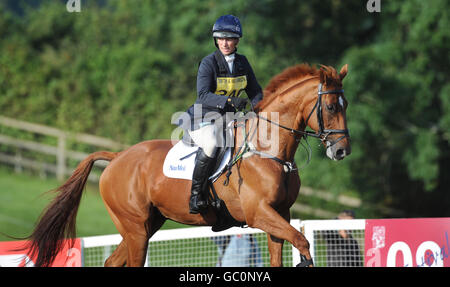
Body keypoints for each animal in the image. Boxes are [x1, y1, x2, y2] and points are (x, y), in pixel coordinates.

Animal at [26, 63, 352, 268]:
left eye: (345, 106)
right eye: (331, 107)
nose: (342, 151)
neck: (268, 151)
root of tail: (118, 157)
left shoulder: (280, 214)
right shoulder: (259, 214)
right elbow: (302, 240)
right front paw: (306, 260)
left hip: (147, 225)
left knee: (112, 261)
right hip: (135, 228)